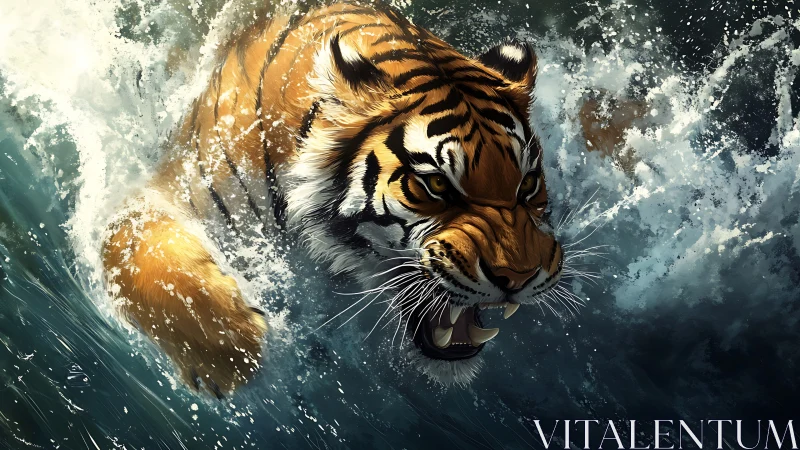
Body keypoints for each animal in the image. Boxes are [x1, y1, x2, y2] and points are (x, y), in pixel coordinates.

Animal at [102, 0, 563, 399]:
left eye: (528, 185)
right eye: (435, 185)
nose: (521, 278)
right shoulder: (173, 186)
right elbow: (133, 249)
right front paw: (230, 356)